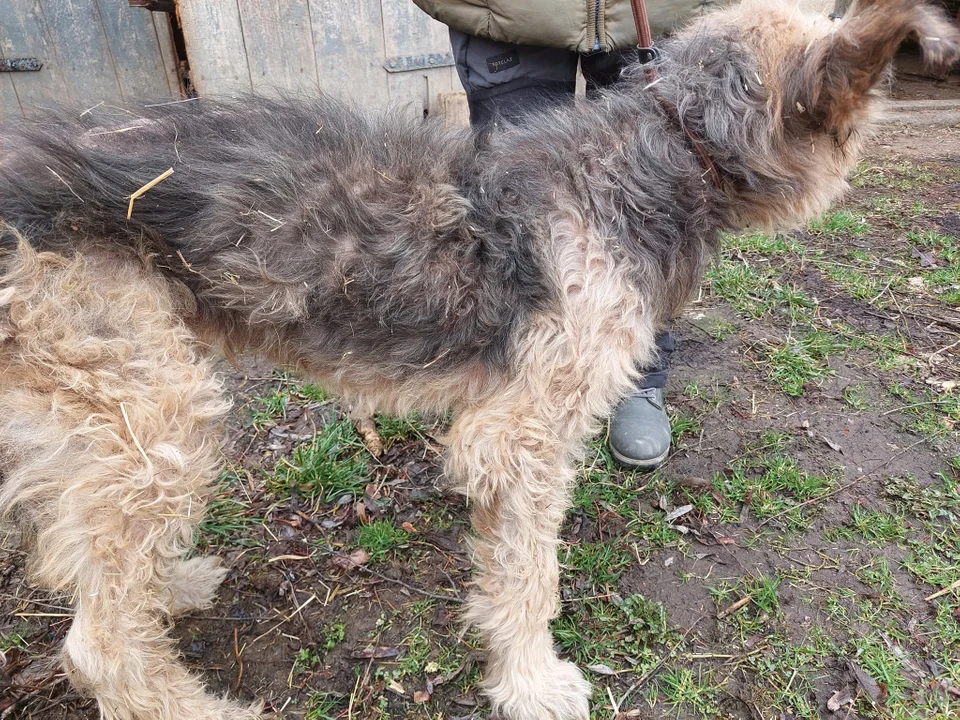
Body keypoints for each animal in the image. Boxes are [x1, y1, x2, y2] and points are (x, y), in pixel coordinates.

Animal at [0, 1, 956, 720]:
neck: (664, 151)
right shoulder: (521, 435)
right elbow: (529, 579)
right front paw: (533, 684)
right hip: (153, 415)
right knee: (96, 641)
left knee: (97, 563)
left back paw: (171, 583)